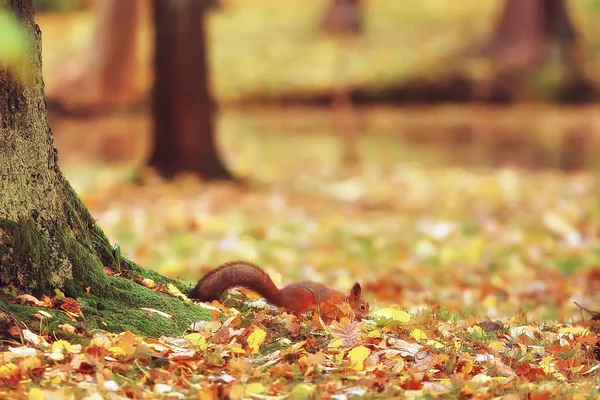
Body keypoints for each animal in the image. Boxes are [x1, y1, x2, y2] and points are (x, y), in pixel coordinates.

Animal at [191, 260, 370, 322]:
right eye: (362, 306)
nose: (368, 316)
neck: (345, 302)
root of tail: (279, 297)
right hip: (304, 298)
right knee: (291, 312)